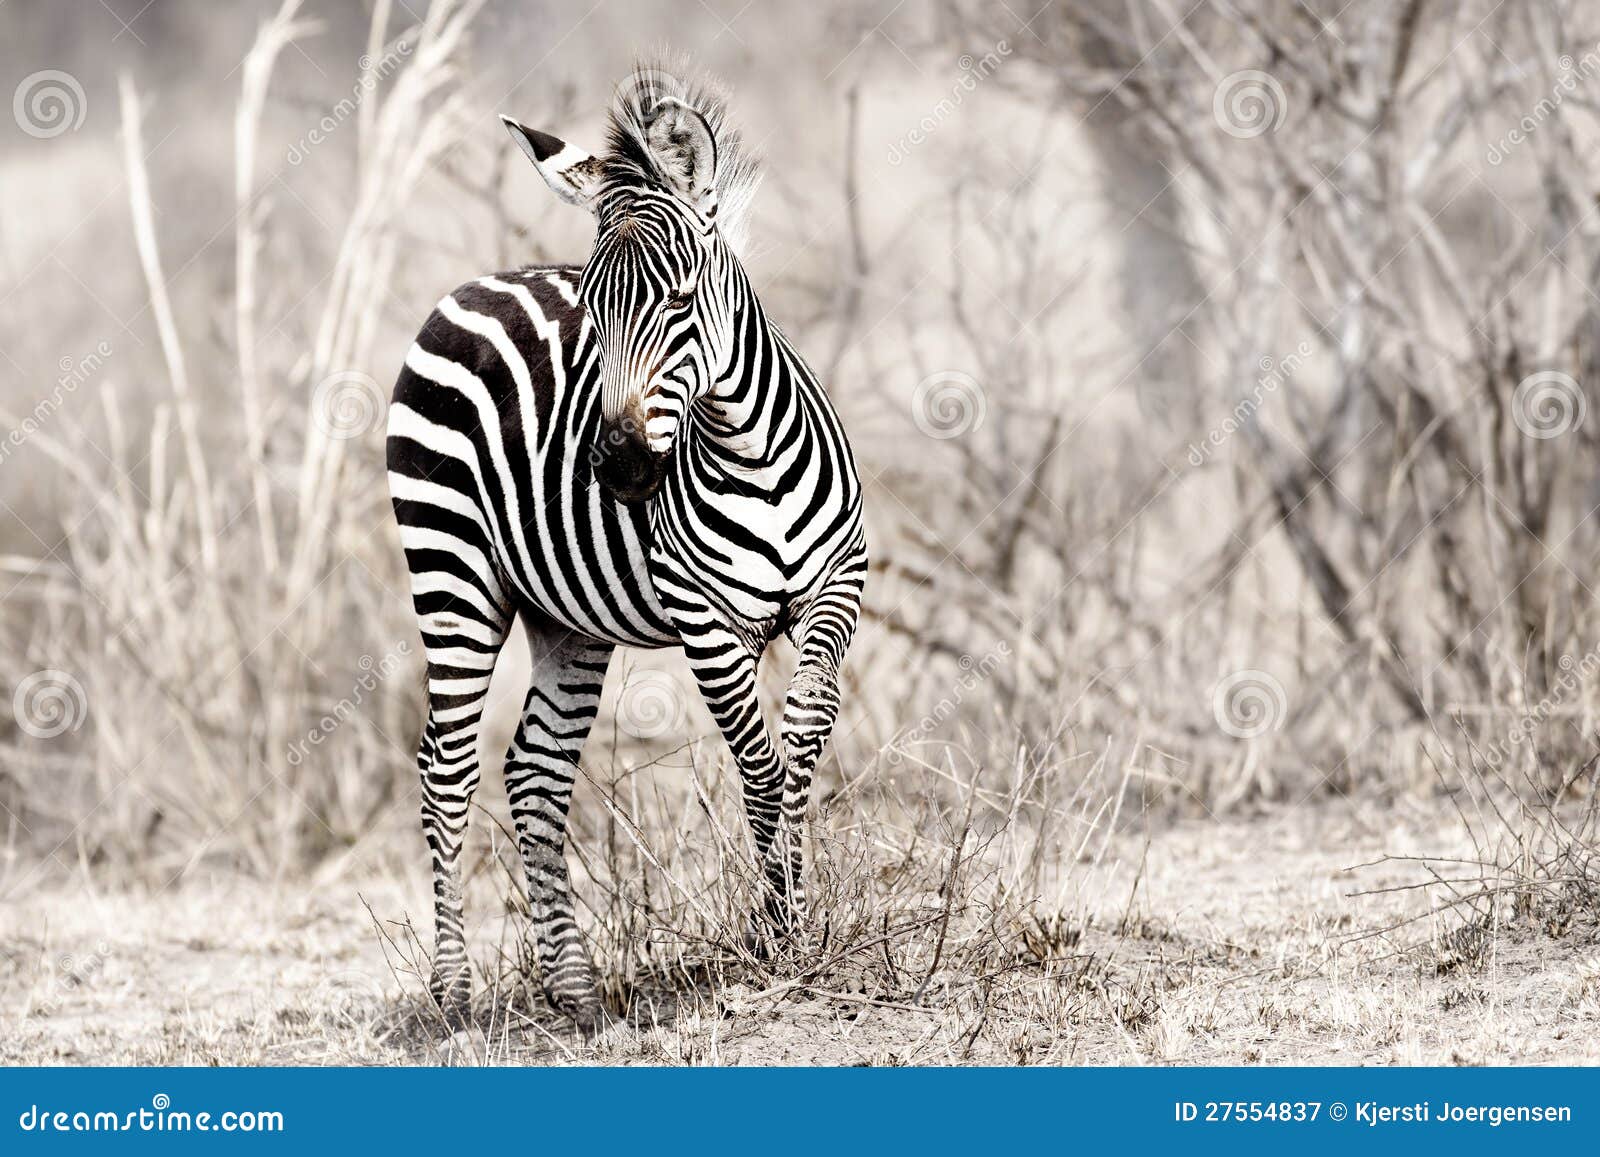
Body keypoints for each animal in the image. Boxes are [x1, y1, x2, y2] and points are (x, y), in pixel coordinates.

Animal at [386, 63, 867, 1035]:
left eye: (680, 303)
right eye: (593, 314)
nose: (619, 468)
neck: (750, 452)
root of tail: (471, 286)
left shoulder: (838, 586)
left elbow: (803, 733)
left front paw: (801, 912)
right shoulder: (705, 621)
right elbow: (758, 764)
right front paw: (777, 935)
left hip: (567, 618)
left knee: (534, 772)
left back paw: (573, 991)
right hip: (453, 576)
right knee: (445, 768)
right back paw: (454, 994)